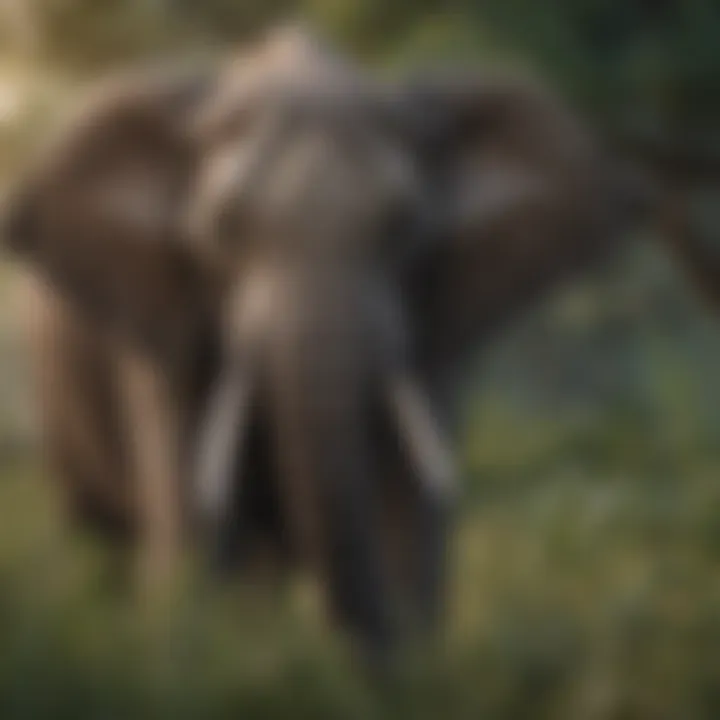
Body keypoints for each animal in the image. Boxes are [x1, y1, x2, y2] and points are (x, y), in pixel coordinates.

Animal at [0, 25, 660, 668]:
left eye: (403, 225)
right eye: (225, 228)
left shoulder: (435, 327)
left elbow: (407, 523)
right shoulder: (167, 315)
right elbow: (194, 536)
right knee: (99, 539)